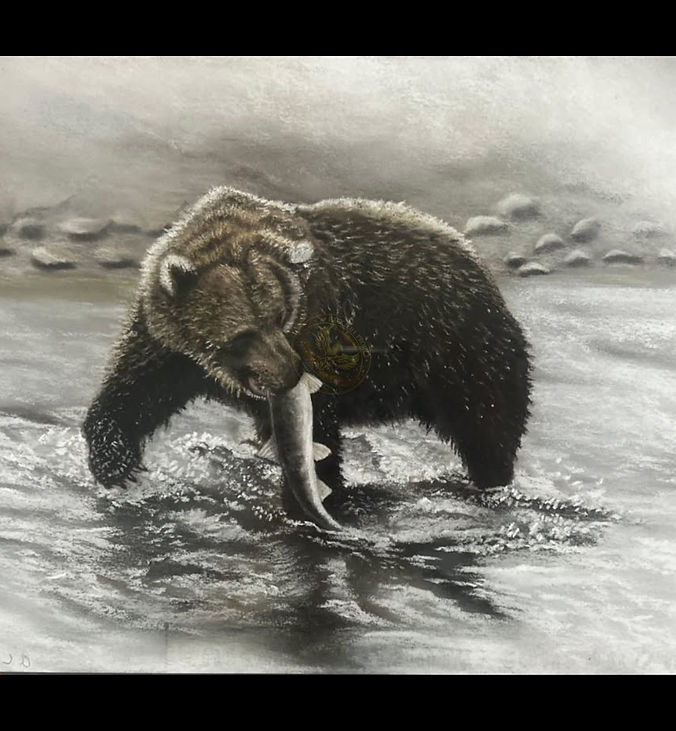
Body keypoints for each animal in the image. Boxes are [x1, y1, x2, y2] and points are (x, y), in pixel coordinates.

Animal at [83, 186, 532, 525]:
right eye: (244, 332)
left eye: (281, 316)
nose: (289, 374)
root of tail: (479, 267)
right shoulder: (169, 347)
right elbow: (130, 395)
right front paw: (117, 468)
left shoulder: (325, 326)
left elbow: (320, 433)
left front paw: (309, 501)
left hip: (459, 350)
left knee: (487, 426)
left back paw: (488, 484)